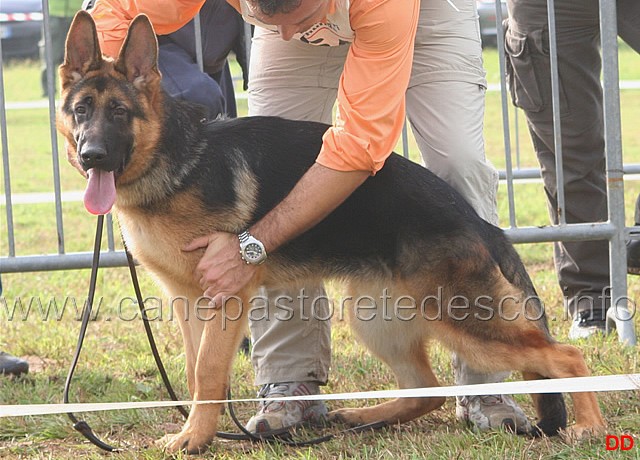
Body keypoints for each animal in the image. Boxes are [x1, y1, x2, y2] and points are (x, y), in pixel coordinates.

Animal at [60, 9, 604, 452]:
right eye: (81, 110)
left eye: (119, 112)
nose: (92, 157)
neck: (173, 161)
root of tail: (477, 219)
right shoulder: (186, 302)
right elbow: (195, 373)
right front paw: (197, 431)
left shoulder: (225, 297)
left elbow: (210, 372)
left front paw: (194, 439)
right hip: (373, 317)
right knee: (424, 389)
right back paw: (364, 416)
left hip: (464, 321)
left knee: (567, 357)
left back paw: (590, 427)